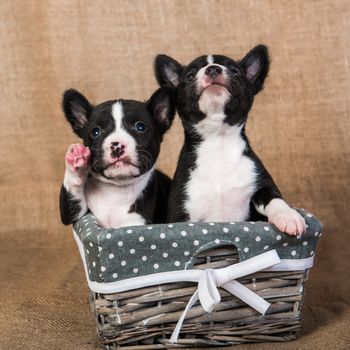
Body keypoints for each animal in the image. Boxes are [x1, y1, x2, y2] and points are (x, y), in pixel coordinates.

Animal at [59, 87, 176, 228]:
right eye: (95, 132)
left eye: (140, 127)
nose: (117, 145)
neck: (116, 189)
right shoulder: (78, 214)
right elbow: (72, 191)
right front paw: (76, 158)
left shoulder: (136, 222)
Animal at [156, 44, 306, 235]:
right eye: (189, 75)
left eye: (235, 71)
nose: (213, 69)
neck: (218, 141)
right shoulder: (181, 208)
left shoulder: (260, 184)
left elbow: (274, 198)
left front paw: (288, 216)